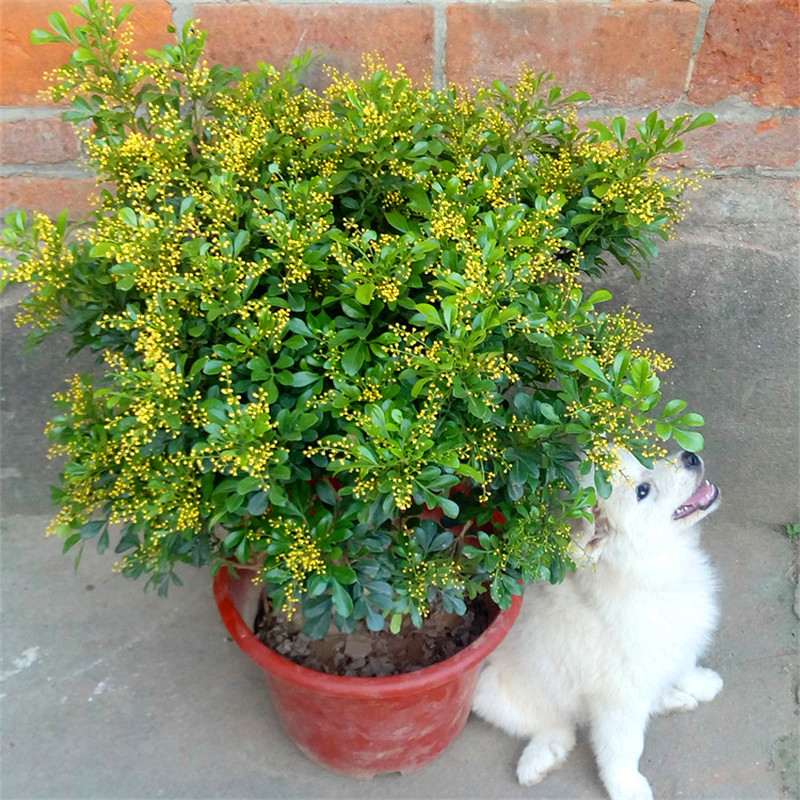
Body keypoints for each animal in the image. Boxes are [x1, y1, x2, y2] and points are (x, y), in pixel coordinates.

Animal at [472, 450, 720, 800]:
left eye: (645, 459)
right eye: (642, 491)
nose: (689, 455)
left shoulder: (671, 644)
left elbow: (684, 666)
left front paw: (700, 682)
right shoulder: (616, 699)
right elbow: (623, 748)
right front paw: (628, 787)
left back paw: (670, 699)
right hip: (486, 688)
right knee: (557, 725)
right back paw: (544, 755)